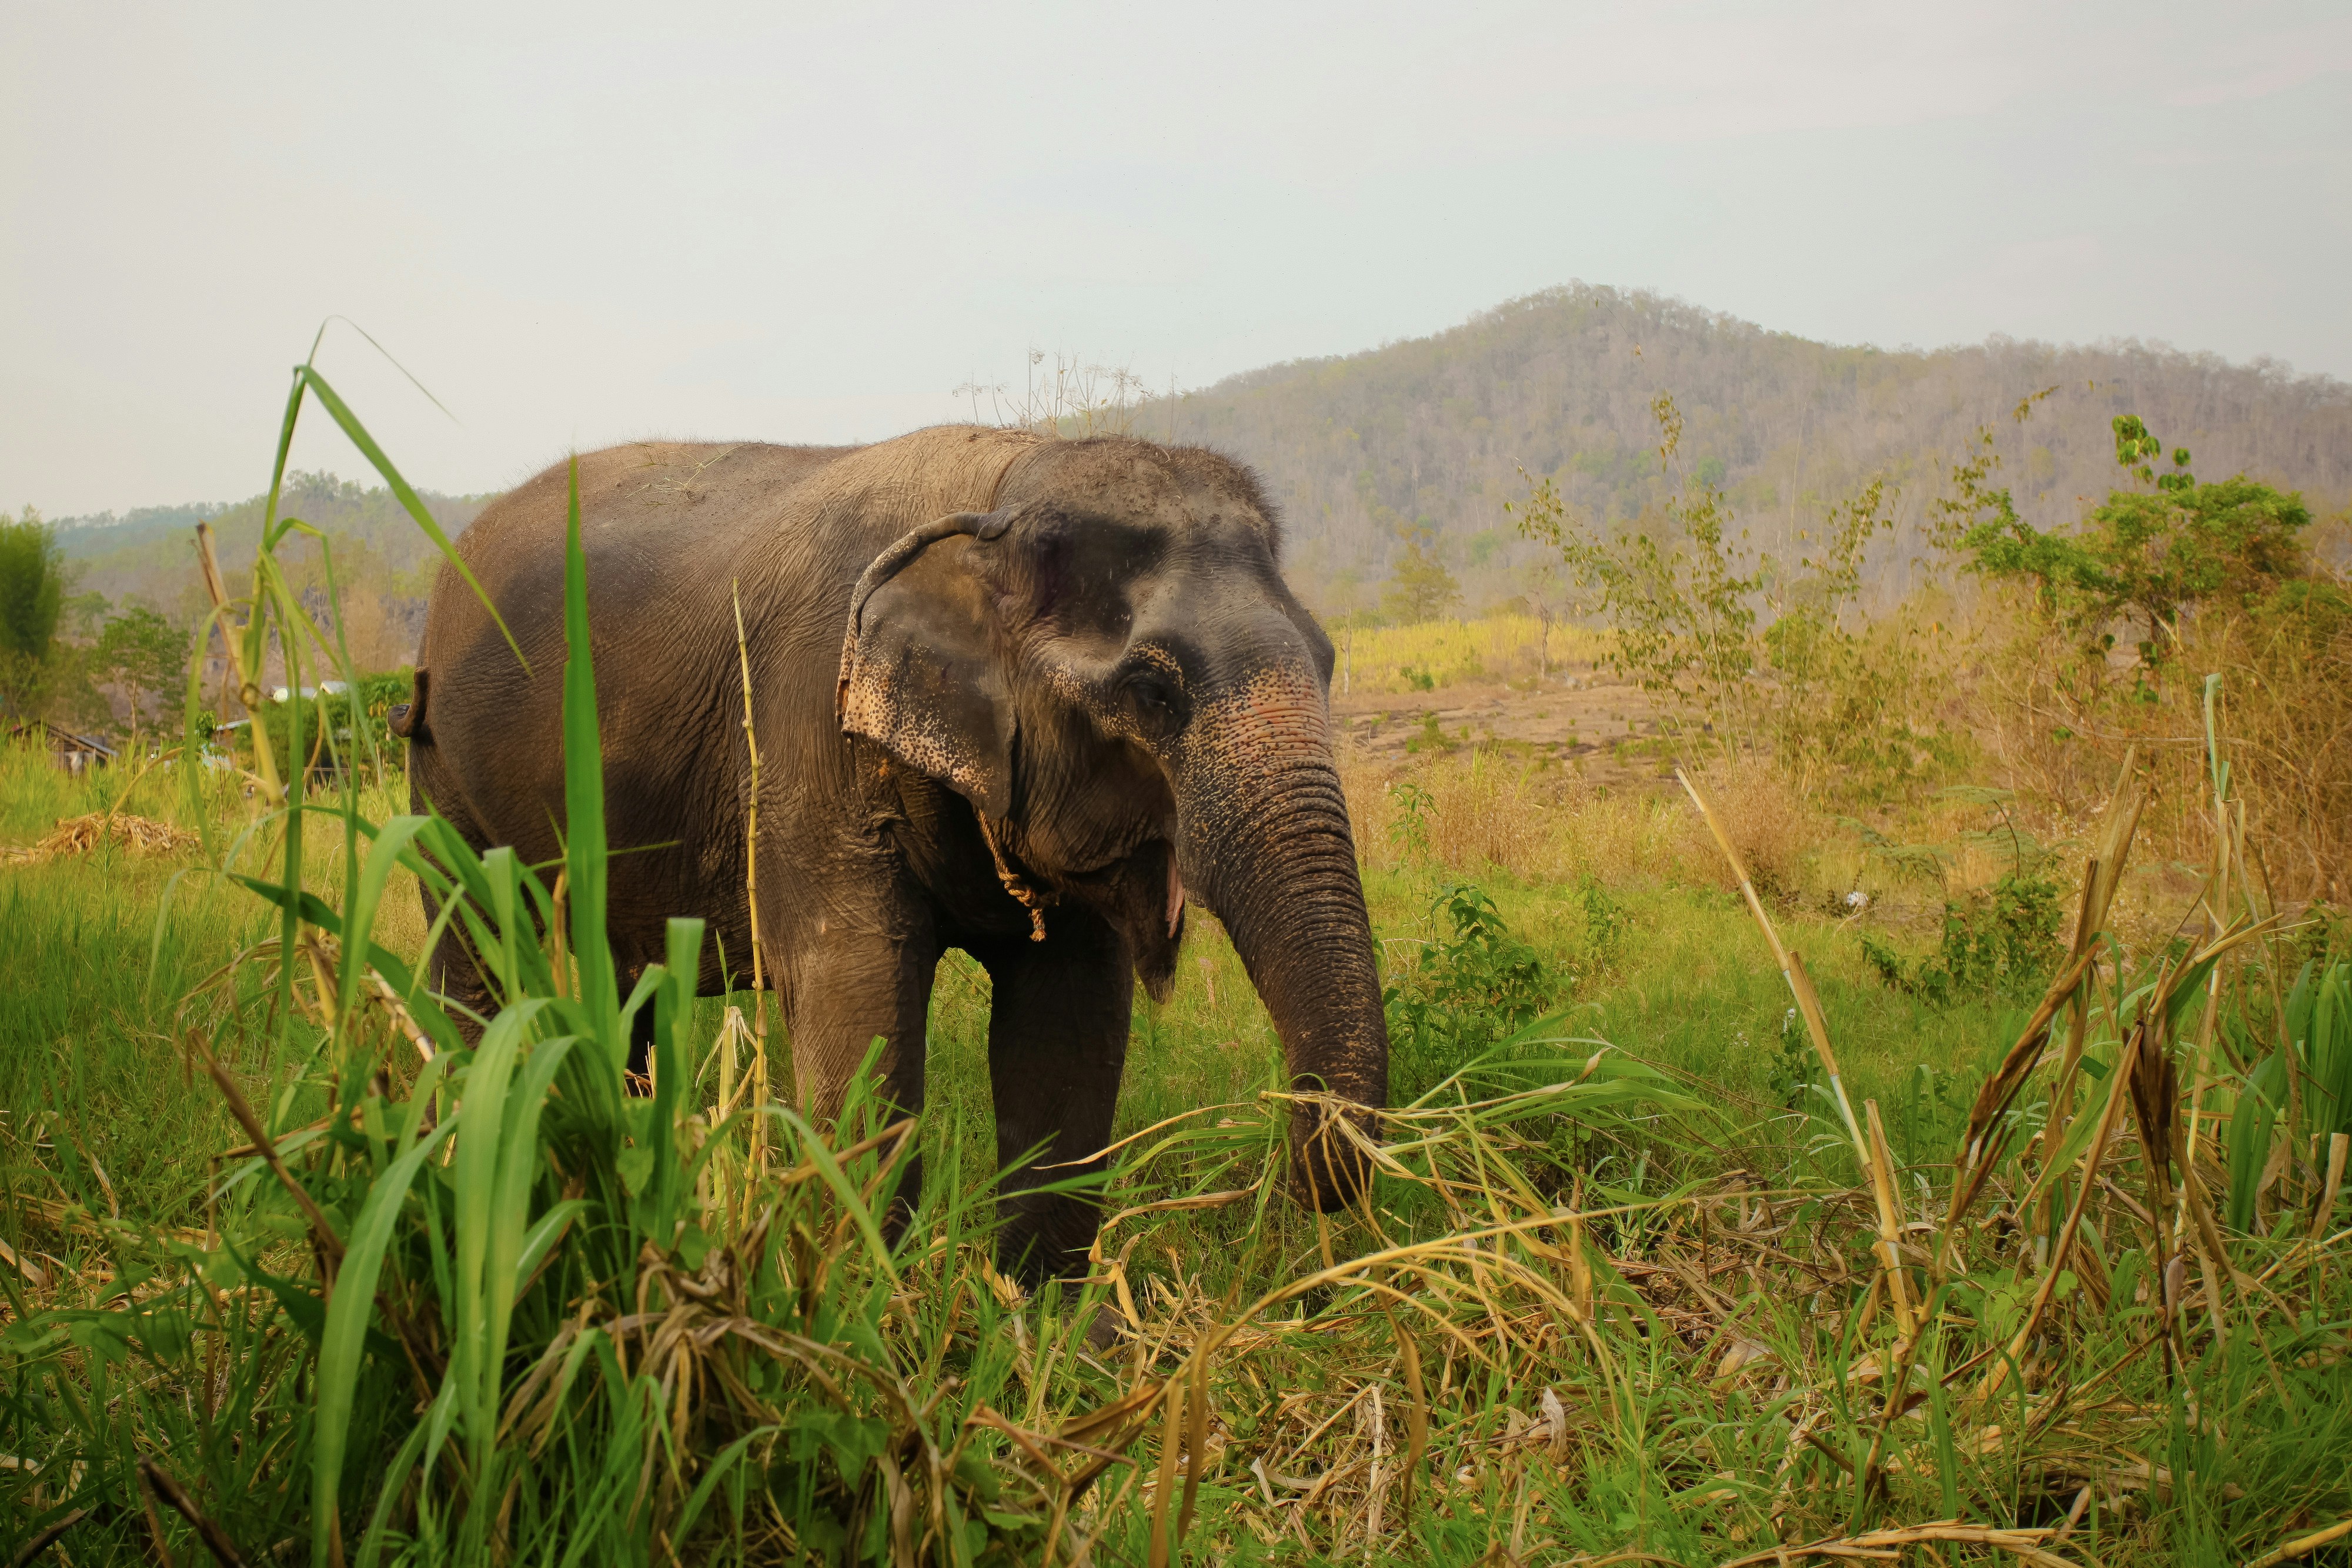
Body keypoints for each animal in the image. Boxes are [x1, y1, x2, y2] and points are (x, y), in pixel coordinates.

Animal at [398, 426, 1387, 1286]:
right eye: (1152, 689)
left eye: (1329, 658)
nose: (1292, 1179)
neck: (1002, 492)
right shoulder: (808, 732)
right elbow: (860, 1008)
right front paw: (864, 1311)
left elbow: (1069, 1029)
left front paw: (1041, 1326)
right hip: (438, 764)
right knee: (471, 944)